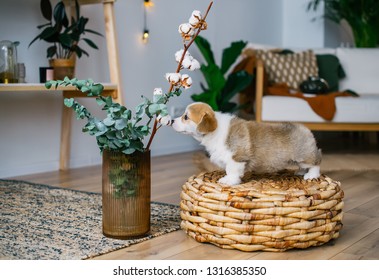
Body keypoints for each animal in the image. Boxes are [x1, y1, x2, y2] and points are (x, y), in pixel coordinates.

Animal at [171, 102, 322, 186]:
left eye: (186, 117)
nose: (171, 121)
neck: (216, 130)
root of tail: (306, 129)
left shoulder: (236, 158)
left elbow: (231, 171)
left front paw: (229, 181)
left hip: (304, 155)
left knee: (315, 164)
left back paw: (311, 175)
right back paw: (300, 171)